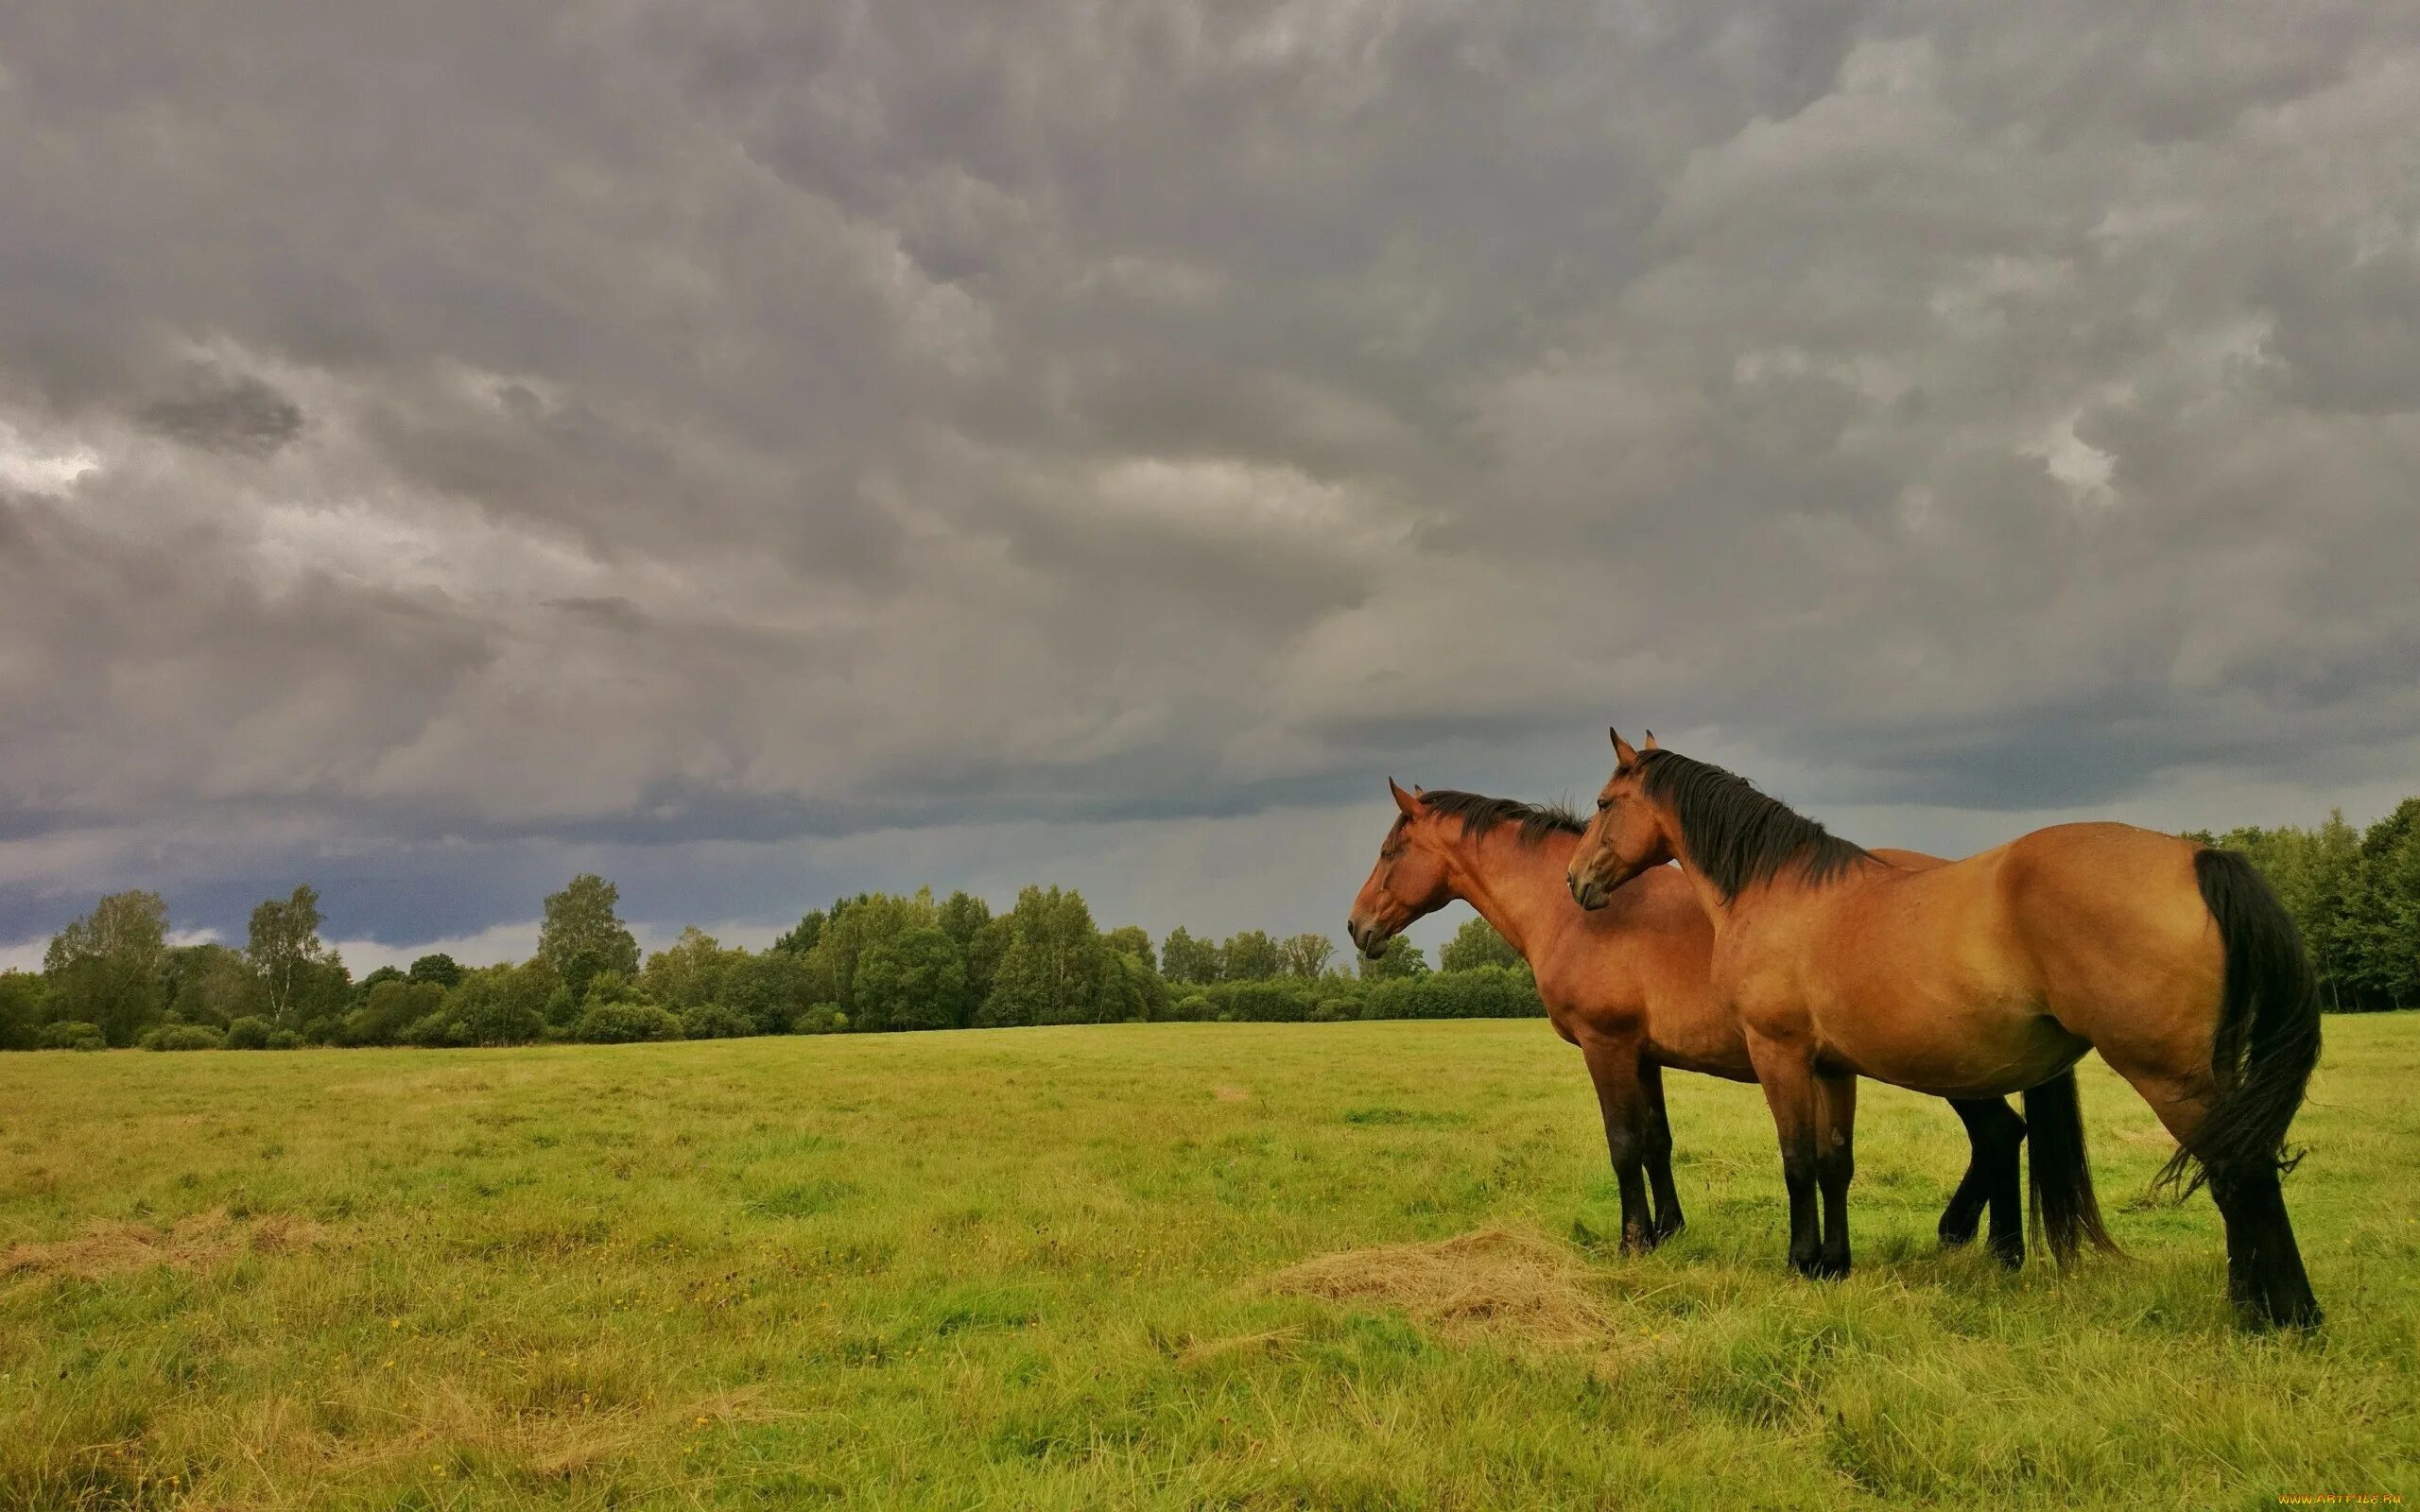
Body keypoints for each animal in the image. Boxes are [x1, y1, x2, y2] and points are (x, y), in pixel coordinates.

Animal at [1345, 779, 2100, 1258]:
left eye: (1388, 852)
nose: (1357, 927)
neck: (1579, 913)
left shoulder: (1605, 1046)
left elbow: (1624, 1143)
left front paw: (1633, 1242)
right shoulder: (1643, 1054)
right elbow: (1657, 1141)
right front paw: (1670, 1231)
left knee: (1999, 1133)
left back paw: (1991, 1247)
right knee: (2001, 1134)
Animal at [1567, 735, 2323, 1335]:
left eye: (1604, 803)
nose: (1576, 881)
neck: (1776, 892)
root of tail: (2198, 858)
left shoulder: (1779, 1054)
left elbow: (1797, 1162)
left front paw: (1801, 1263)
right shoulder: (1831, 1066)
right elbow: (1835, 1162)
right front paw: (1835, 1266)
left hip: (2168, 1074)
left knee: (2239, 1174)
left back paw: (2281, 1315)